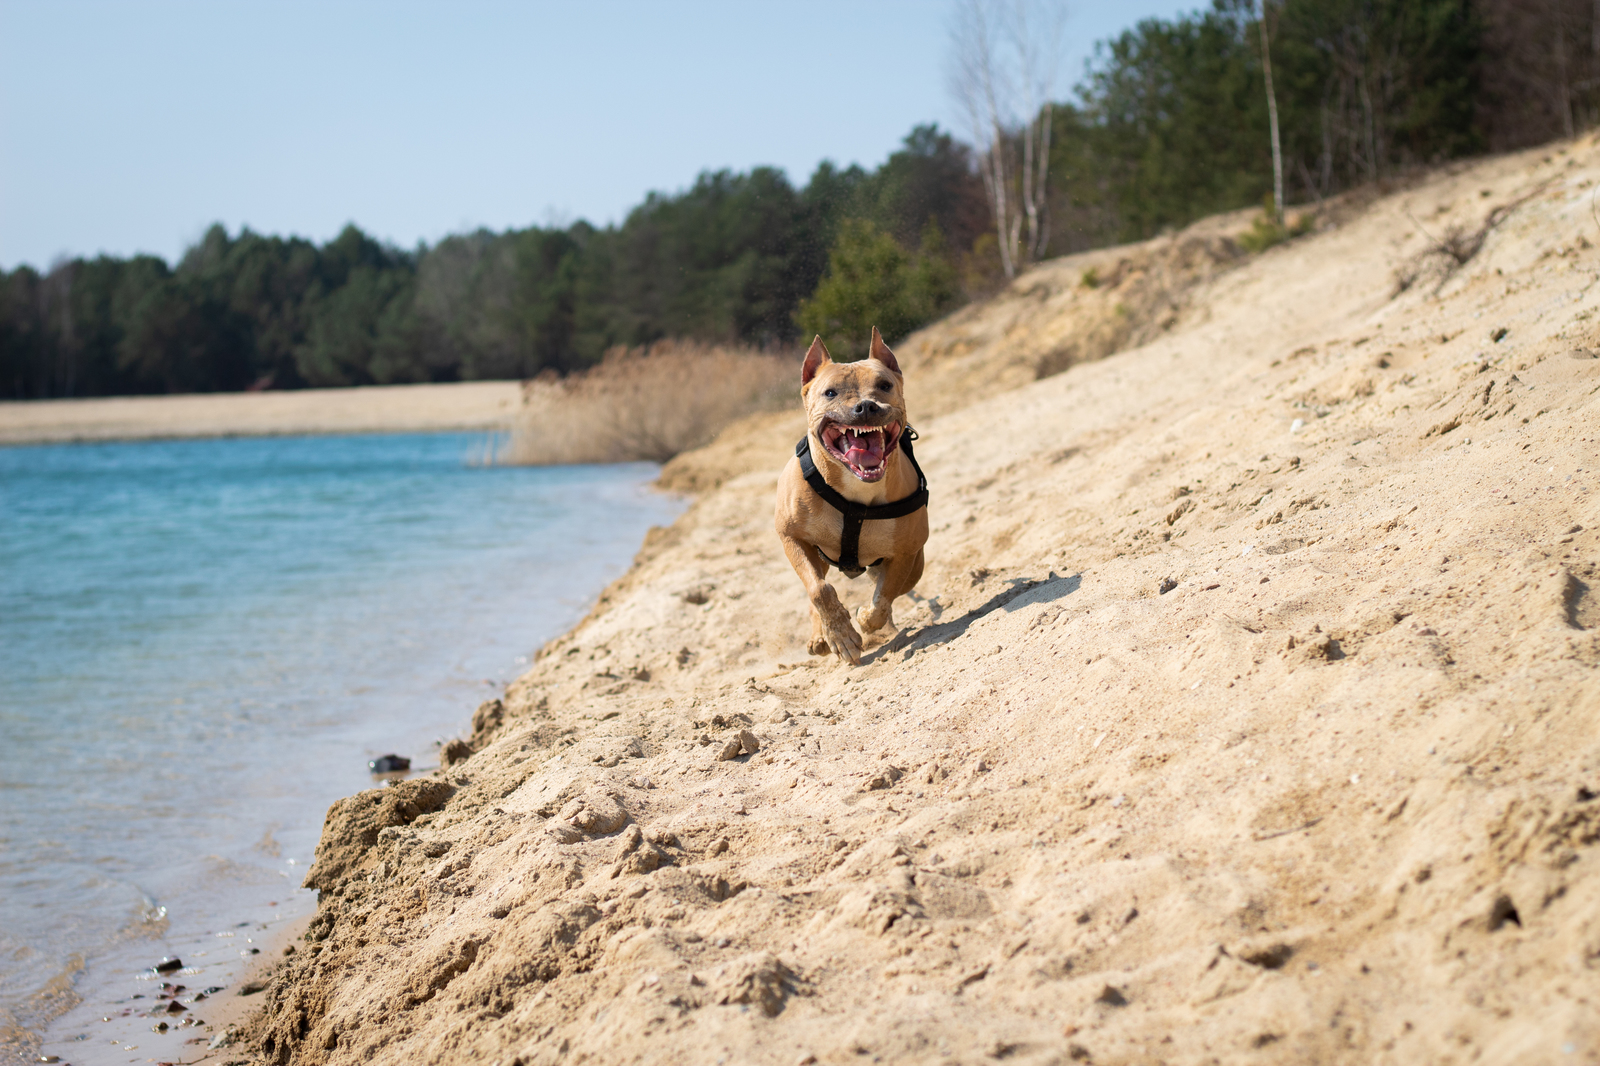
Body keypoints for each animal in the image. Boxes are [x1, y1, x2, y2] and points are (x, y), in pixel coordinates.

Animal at [771, 323, 928, 659]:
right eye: (830, 392)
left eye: (884, 385)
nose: (866, 405)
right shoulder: (791, 537)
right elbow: (819, 590)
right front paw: (840, 634)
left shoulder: (905, 553)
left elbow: (884, 596)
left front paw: (867, 620)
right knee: (817, 588)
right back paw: (821, 636)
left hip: (915, 565)